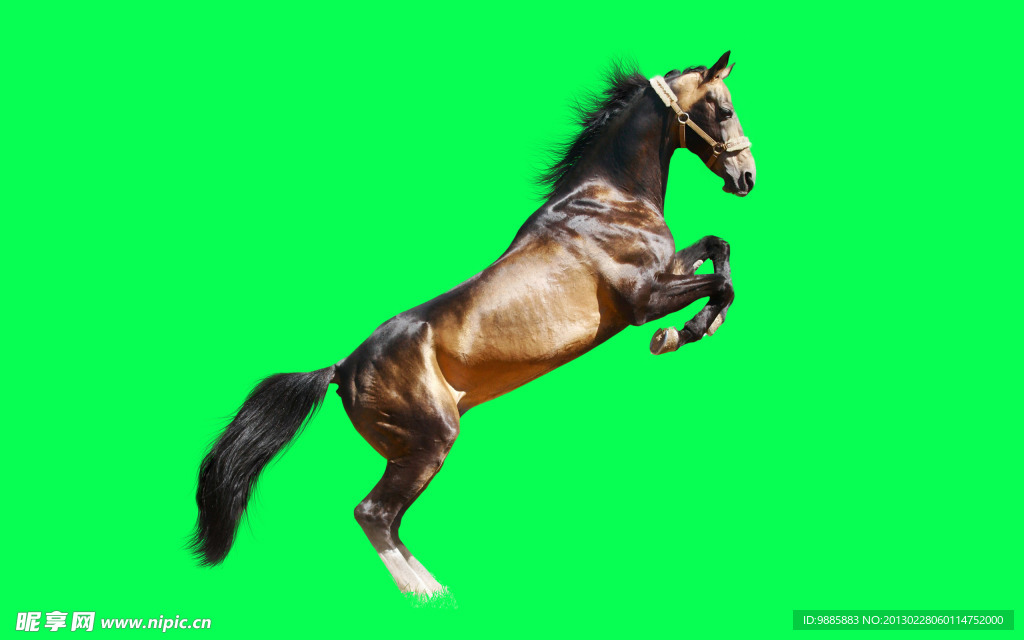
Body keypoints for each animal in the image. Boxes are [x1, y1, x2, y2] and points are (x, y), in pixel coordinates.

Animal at [191, 51, 756, 596]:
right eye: (724, 109)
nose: (747, 176)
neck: (609, 198)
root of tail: (342, 368)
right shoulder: (643, 299)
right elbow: (721, 284)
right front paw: (679, 335)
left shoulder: (667, 270)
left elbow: (719, 249)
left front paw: (697, 326)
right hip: (429, 441)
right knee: (373, 514)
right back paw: (425, 594)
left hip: (409, 451)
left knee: (388, 519)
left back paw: (436, 589)